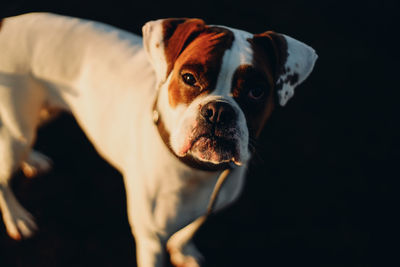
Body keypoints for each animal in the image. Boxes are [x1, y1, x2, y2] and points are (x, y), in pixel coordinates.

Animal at [0, 13, 318, 267]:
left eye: (256, 91)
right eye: (189, 78)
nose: (218, 111)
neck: (197, 171)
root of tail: (8, 24)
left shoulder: (210, 204)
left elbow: (190, 227)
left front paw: (182, 249)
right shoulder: (151, 241)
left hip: (37, 115)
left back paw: (32, 160)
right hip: (17, 124)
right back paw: (16, 216)